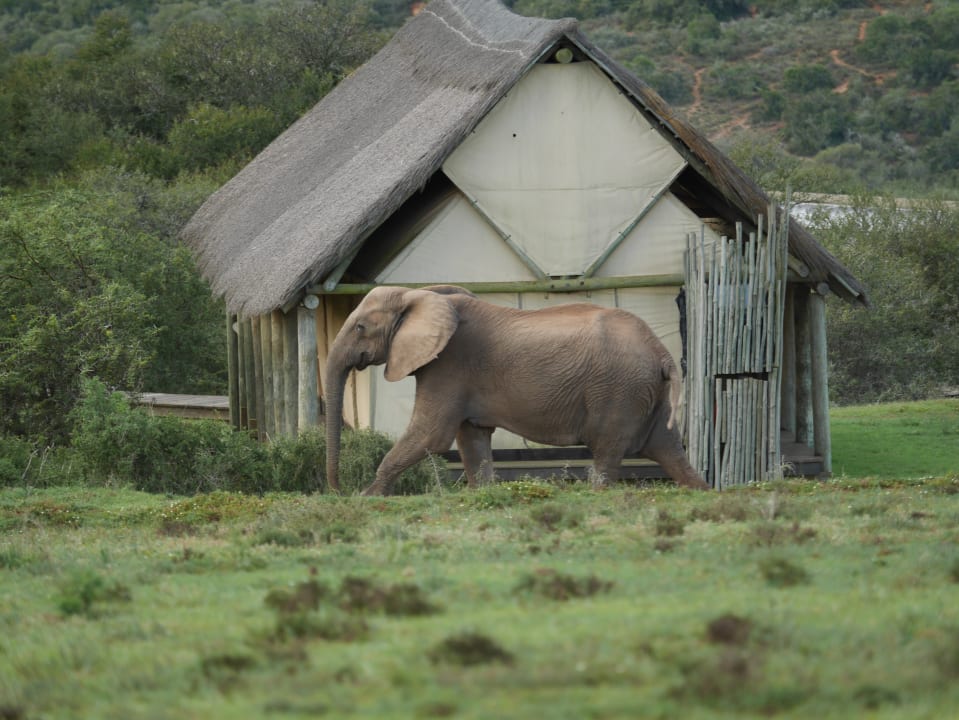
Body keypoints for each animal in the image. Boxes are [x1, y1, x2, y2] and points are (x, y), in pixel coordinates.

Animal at [324, 285, 709, 495]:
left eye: (360, 327)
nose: (339, 490)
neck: (418, 293)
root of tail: (661, 351)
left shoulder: (449, 365)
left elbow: (430, 435)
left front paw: (367, 497)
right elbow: (472, 440)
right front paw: (481, 495)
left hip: (620, 391)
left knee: (607, 452)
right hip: (647, 393)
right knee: (669, 451)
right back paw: (702, 491)